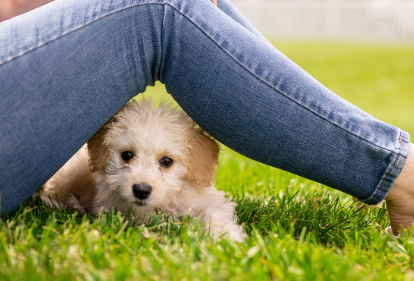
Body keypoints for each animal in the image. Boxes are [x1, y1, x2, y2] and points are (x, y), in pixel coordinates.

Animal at [41, 98, 246, 241]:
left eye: (166, 161)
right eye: (127, 155)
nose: (141, 190)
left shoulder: (210, 200)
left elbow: (217, 213)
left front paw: (227, 238)